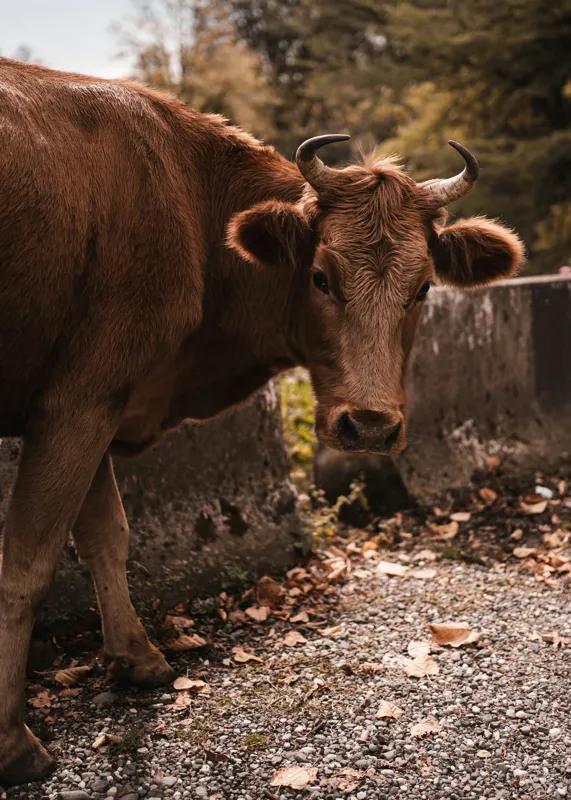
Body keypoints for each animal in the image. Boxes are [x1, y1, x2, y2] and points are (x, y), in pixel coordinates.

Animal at [0, 56, 524, 786]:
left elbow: (106, 533)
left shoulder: (93, 402)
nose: (370, 426)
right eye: (321, 277)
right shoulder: (76, 402)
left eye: (423, 288)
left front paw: (138, 657)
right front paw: (12, 742)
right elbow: (25, 566)